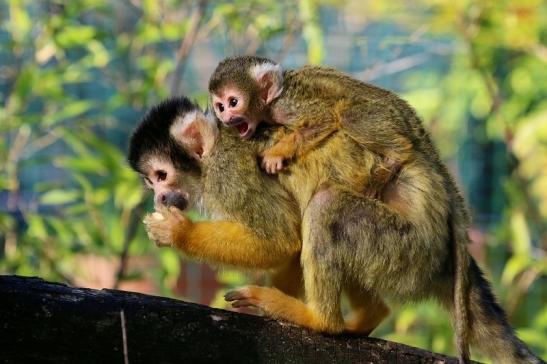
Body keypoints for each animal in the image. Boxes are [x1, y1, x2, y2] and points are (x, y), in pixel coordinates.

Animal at [129, 96, 392, 336]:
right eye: (150, 183)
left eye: (162, 176)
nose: (159, 198)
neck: (214, 153)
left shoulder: (231, 173)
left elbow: (282, 239)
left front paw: (180, 231)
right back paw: (371, 315)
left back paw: (319, 319)